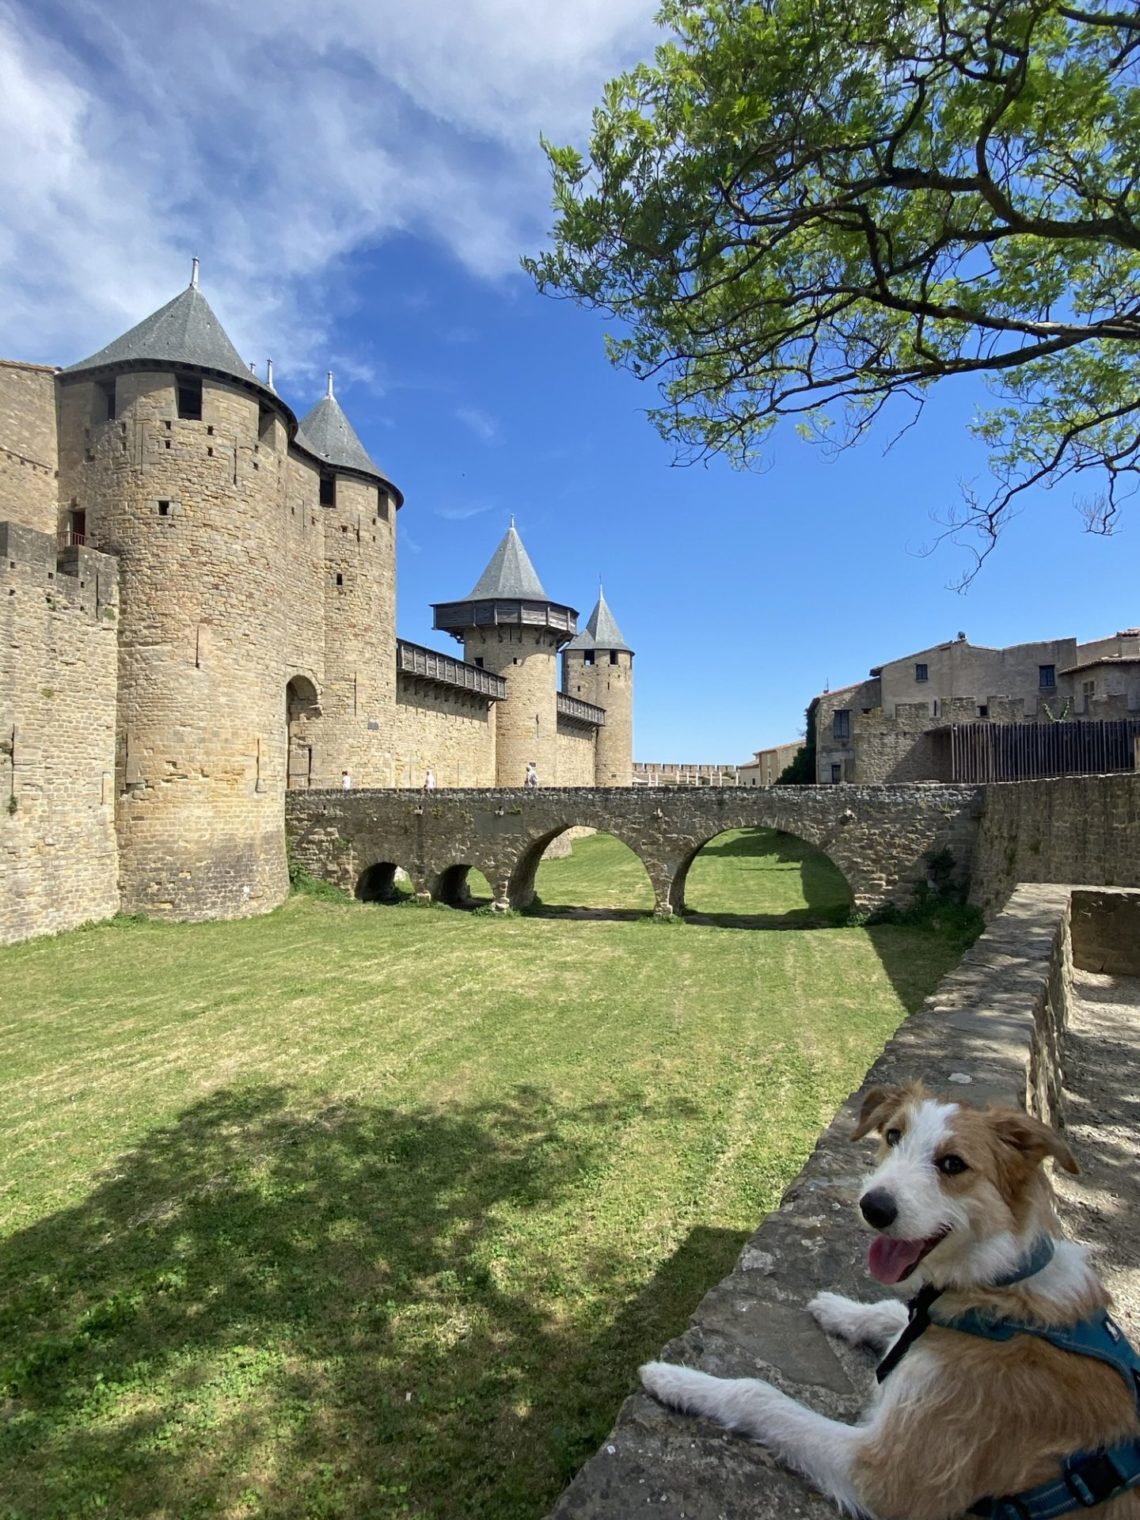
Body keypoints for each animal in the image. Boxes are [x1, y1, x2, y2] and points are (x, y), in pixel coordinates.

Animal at [644, 1082, 1140, 1520]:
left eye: (953, 1164)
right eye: (893, 1135)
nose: (873, 1206)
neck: (999, 1293)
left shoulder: (893, 1475)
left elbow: (758, 1393)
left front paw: (675, 1379)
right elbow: (891, 1312)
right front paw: (837, 1309)